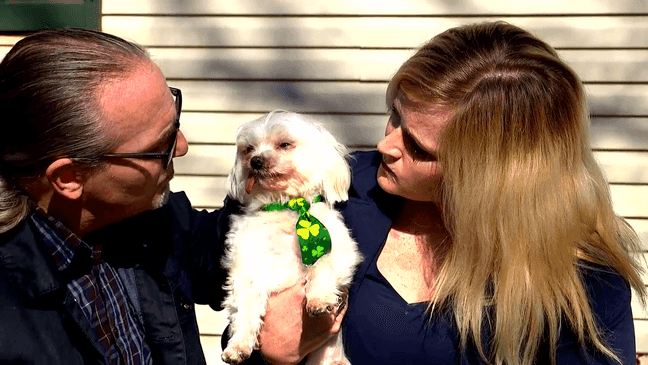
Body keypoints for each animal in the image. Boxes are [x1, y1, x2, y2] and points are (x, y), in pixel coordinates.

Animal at [221, 111, 364, 364]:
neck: (285, 205)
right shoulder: (247, 268)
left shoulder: (342, 251)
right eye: (248, 149)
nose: (256, 160)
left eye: (285, 144)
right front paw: (238, 345)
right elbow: (245, 309)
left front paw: (319, 299)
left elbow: (321, 264)